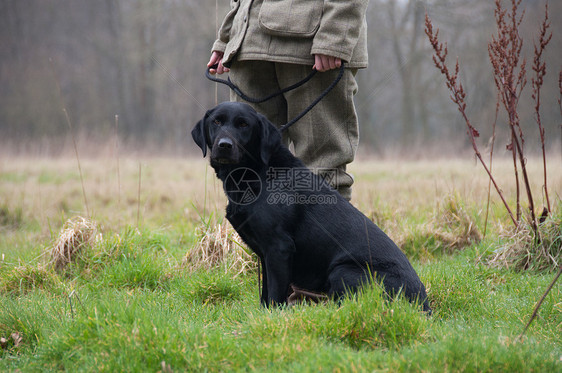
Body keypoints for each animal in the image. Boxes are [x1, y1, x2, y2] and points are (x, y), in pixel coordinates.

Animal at [192, 101, 428, 310]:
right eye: (216, 121)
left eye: (244, 124)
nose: (224, 145)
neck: (257, 174)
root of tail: (423, 304)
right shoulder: (266, 254)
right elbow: (266, 294)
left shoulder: (279, 247)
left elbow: (275, 295)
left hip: (343, 270)